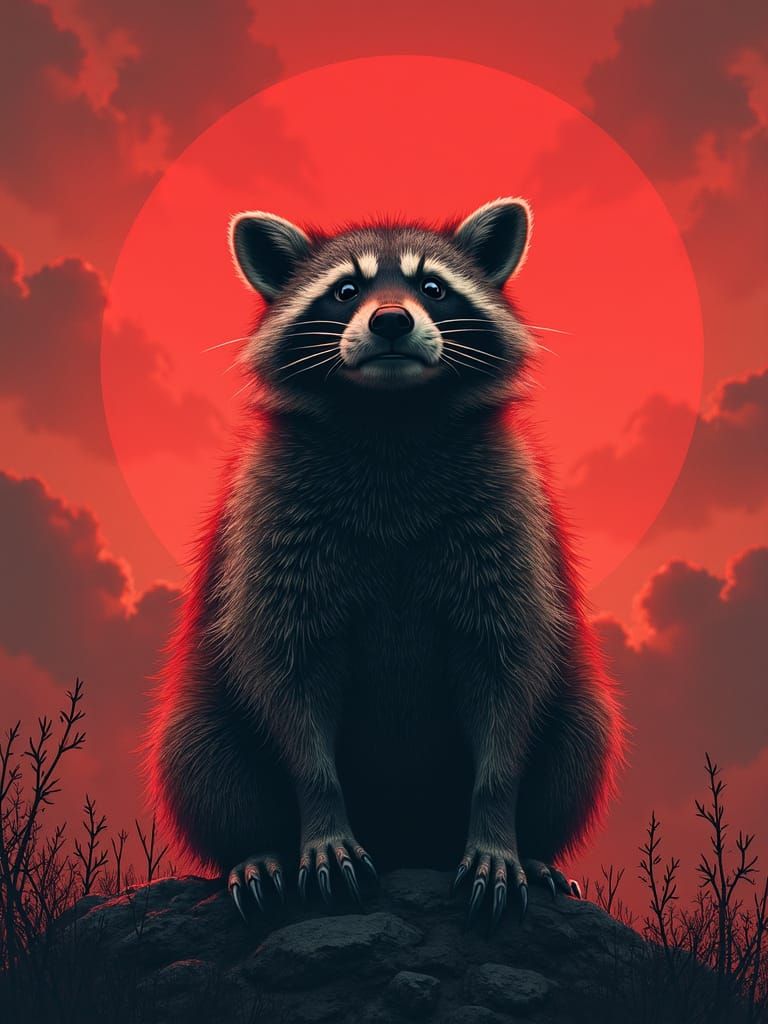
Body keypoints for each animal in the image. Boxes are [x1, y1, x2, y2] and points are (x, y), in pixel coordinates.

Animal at [146, 198, 626, 926]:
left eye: (434, 287)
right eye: (346, 290)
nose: (392, 319)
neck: (391, 415)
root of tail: (408, 844)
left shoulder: (509, 520)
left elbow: (508, 670)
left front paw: (497, 826)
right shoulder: (274, 521)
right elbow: (286, 672)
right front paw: (320, 820)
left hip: (575, 711)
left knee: (581, 740)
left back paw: (540, 850)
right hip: (199, 714)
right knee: (199, 757)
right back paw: (253, 850)